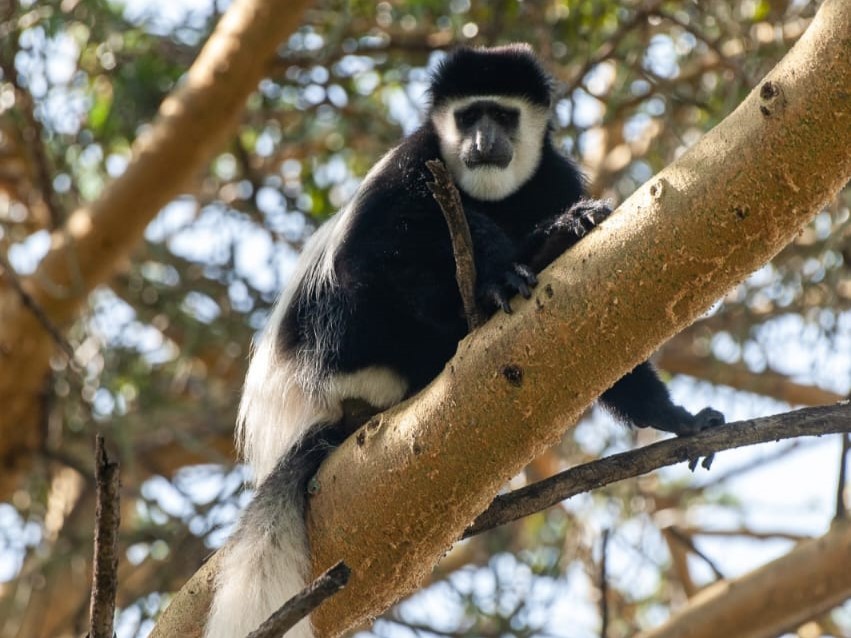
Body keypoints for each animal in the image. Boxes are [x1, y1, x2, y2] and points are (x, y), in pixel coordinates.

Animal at [205, 42, 720, 636]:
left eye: (503, 115)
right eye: (470, 116)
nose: (483, 142)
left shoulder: (556, 177)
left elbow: (609, 333)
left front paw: (679, 419)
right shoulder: (414, 161)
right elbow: (373, 248)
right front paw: (503, 273)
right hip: (345, 341)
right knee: (390, 253)